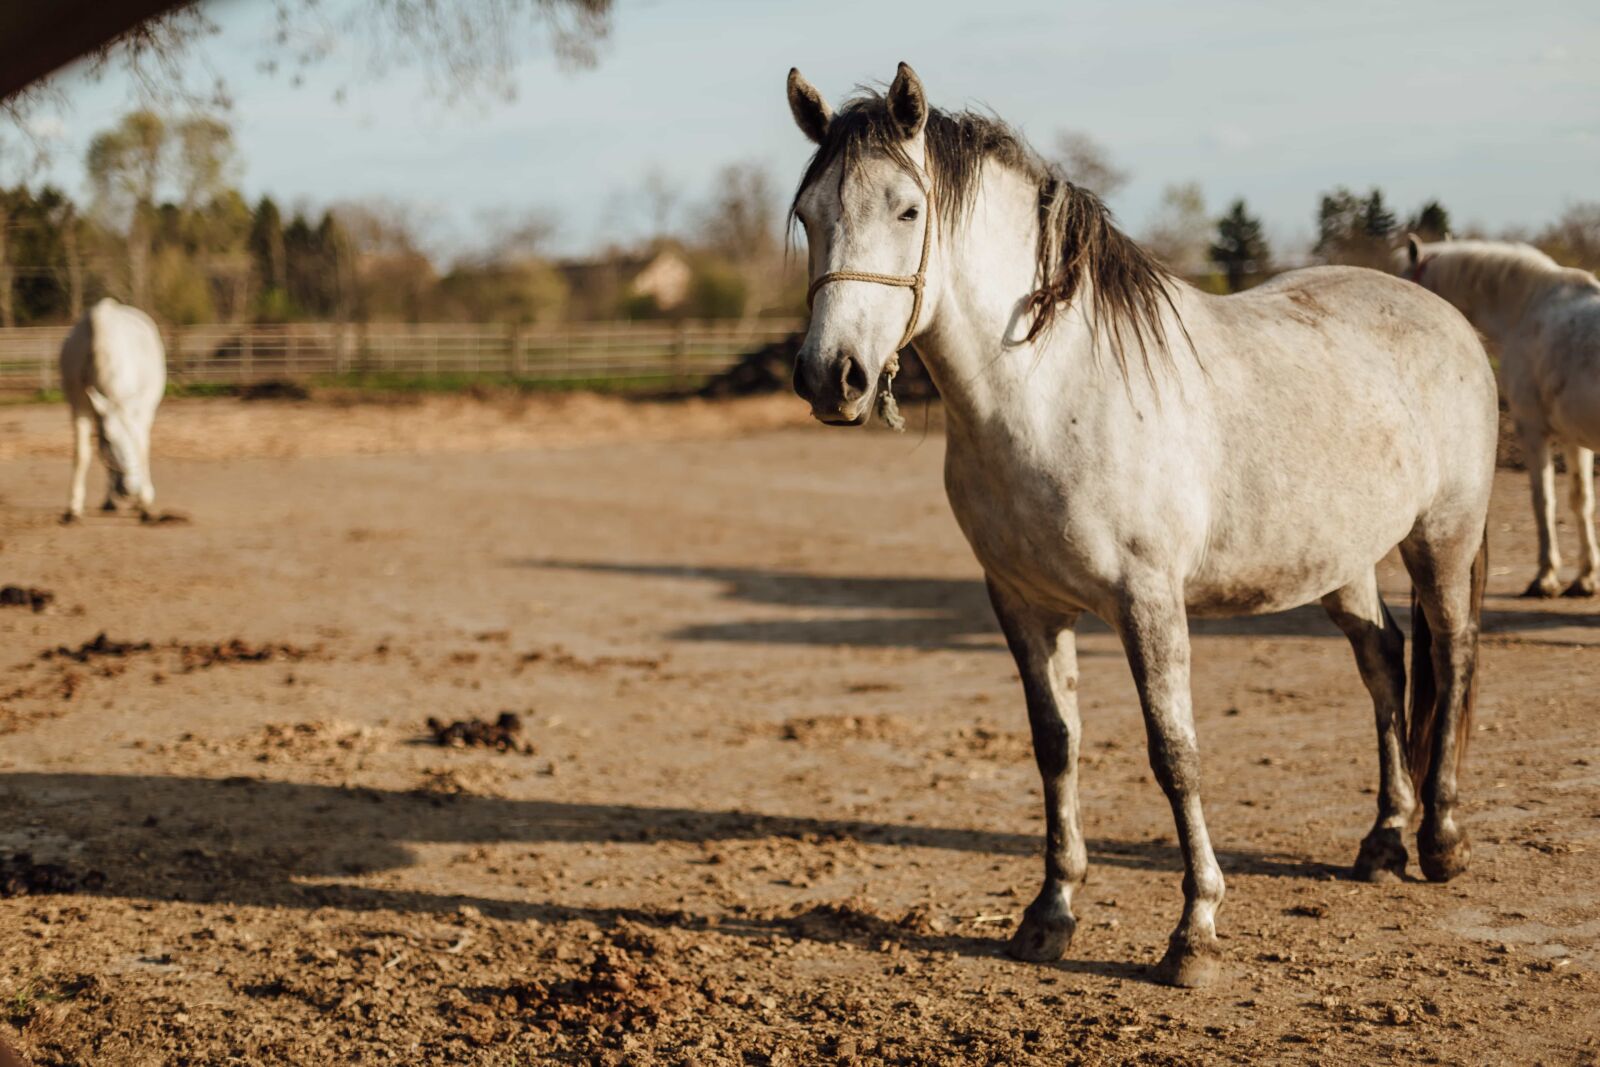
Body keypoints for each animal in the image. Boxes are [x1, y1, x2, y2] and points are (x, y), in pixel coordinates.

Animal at [58, 297, 167, 522]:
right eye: (108, 439)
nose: (130, 488)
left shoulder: (140, 413)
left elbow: (142, 448)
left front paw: (144, 503)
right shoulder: (79, 407)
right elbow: (82, 454)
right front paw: (74, 507)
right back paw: (110, 500)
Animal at [784, 63, 1496, 987]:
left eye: (906, 210)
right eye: (809, 215)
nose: (832, 377)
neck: (1052, 390)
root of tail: (1443, 315)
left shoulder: (1148, 599)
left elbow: (1173, 751)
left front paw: (1195, 930)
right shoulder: (1022, 603)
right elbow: (1056, 743)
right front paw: (1049, 914)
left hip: (1442, 540)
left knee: (1452, 655)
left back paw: (1441, 840)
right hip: (1345, 562)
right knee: (1385, 662)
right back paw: (1382, 841)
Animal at [1404, 236, 1600, 598]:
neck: (1526, 308)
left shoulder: (1532, 429)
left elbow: (1543, 502)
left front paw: (1545, 577)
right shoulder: (1573, 438)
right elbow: (1581, 502)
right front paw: (1585, 578)